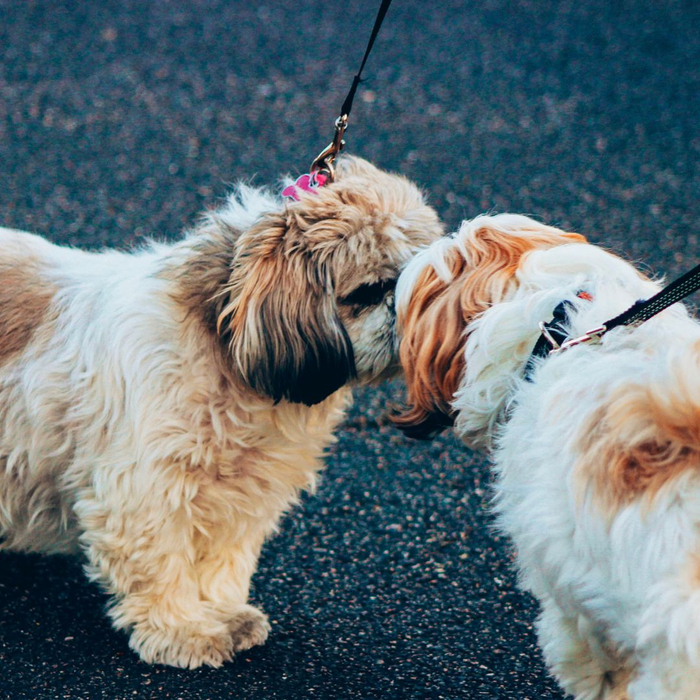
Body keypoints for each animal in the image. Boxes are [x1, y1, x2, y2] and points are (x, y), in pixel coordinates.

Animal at [0, 156, 440, 668]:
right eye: (371, 290)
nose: (409, 308)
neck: (226, 348)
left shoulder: (242, 492)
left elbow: (222, 560)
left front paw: (222, 613)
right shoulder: (147, 491)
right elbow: (162, 563)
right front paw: (183, 629)